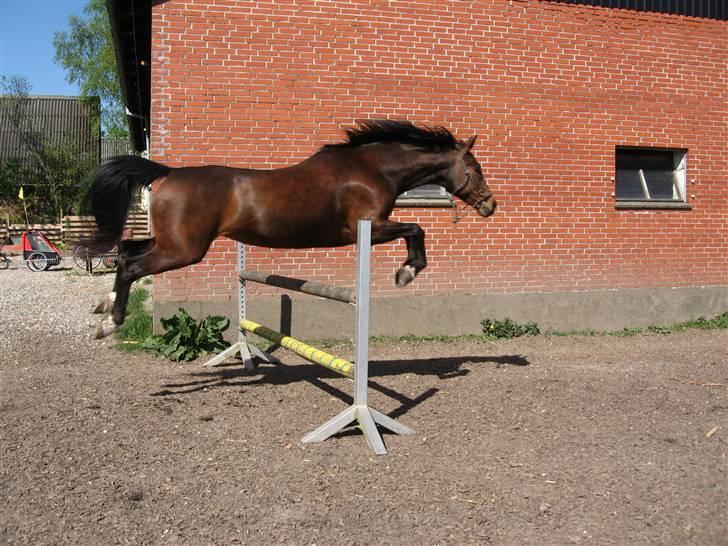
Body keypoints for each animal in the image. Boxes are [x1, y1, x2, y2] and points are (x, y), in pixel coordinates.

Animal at [84, 120, 494, 336]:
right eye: (475, 168)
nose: (491, 205)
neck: (372, 169)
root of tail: (167, 173)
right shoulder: (370, 228)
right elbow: (416, 229)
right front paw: (406, 273)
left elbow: (415, 229)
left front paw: (406, 271)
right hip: (183, 250)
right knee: (131, 265)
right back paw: (111, 322)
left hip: (170, 243)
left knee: (126, 252)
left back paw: (104, 307)